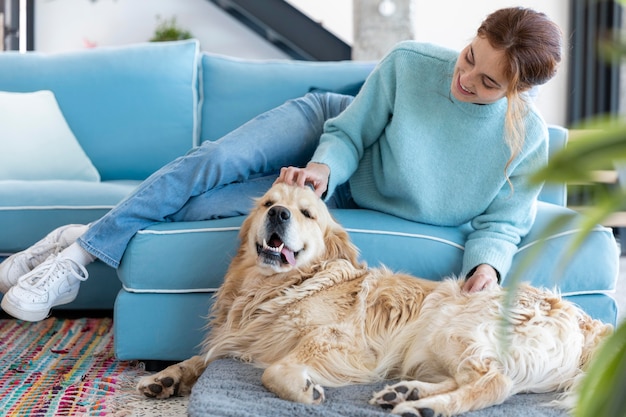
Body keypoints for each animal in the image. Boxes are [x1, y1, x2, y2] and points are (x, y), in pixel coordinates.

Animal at [136, 183, 608, 416]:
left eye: (307, 213)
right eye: (269, 202)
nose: (279, 214)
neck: (274, 286)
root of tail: (584, 322)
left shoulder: (336, 340)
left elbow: (275, 370)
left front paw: (304, 390)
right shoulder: (240, 338)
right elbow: (203, 357)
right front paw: (166, 377)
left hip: (455, 328)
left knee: (495, 383)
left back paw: (423, 409)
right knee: (474, 378)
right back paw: (403, 394)